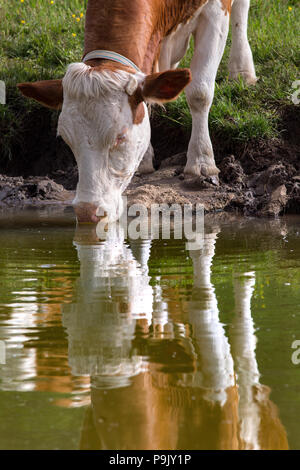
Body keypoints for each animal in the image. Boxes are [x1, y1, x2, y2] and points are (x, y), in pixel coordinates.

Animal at [17, 0, 255, 224]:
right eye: (66, 140)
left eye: (120, 137)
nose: (86, 211)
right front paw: (145, 158)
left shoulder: (216, 10)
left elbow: (200, 92)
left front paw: (202, 161)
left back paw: (242, 70)